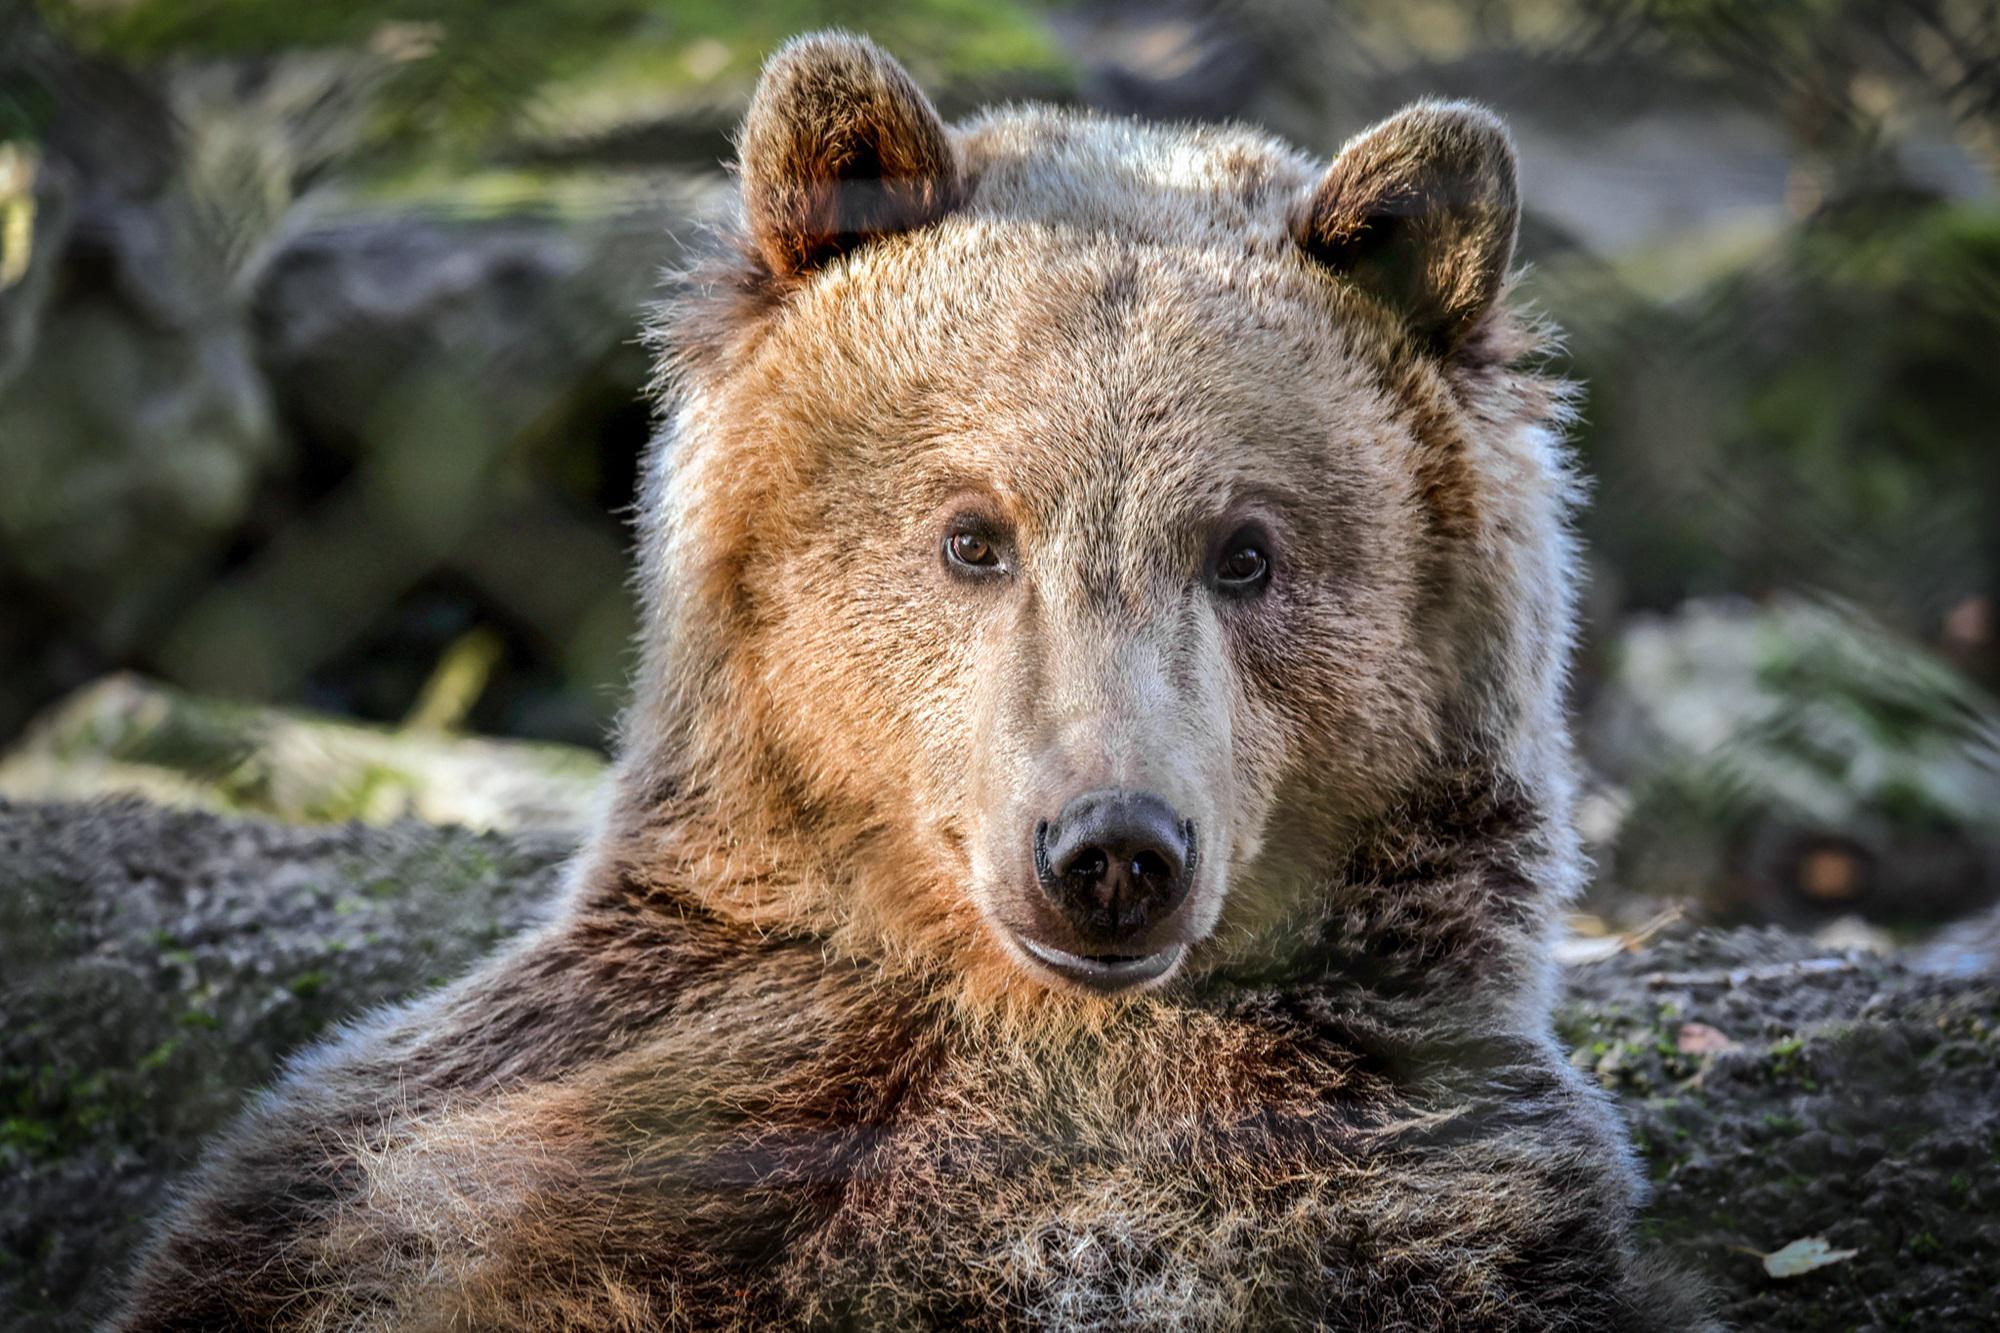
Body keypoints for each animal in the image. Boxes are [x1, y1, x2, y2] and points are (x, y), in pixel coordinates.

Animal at [117, 31, 1704, 1328]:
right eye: (973, 534)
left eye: (1245, 551)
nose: (1109, 849)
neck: (1022, 1015)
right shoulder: (535, 1124)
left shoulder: (1411, 1177)